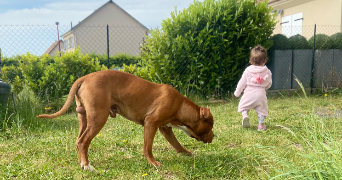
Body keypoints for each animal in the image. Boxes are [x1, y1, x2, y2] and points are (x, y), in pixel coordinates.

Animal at [37, 69, 214, 169]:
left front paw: (187, 153)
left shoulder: (165, 128)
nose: (214, 136)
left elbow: (177, 144)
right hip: (98, 118)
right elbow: (148, 147)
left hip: (84, 119)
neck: (180, 105)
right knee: (83, 141)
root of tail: (84, 78)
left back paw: (82, 163)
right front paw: (153, 163)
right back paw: (87, 166)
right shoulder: (151, 123)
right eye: (211, 125)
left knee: (79, 140)